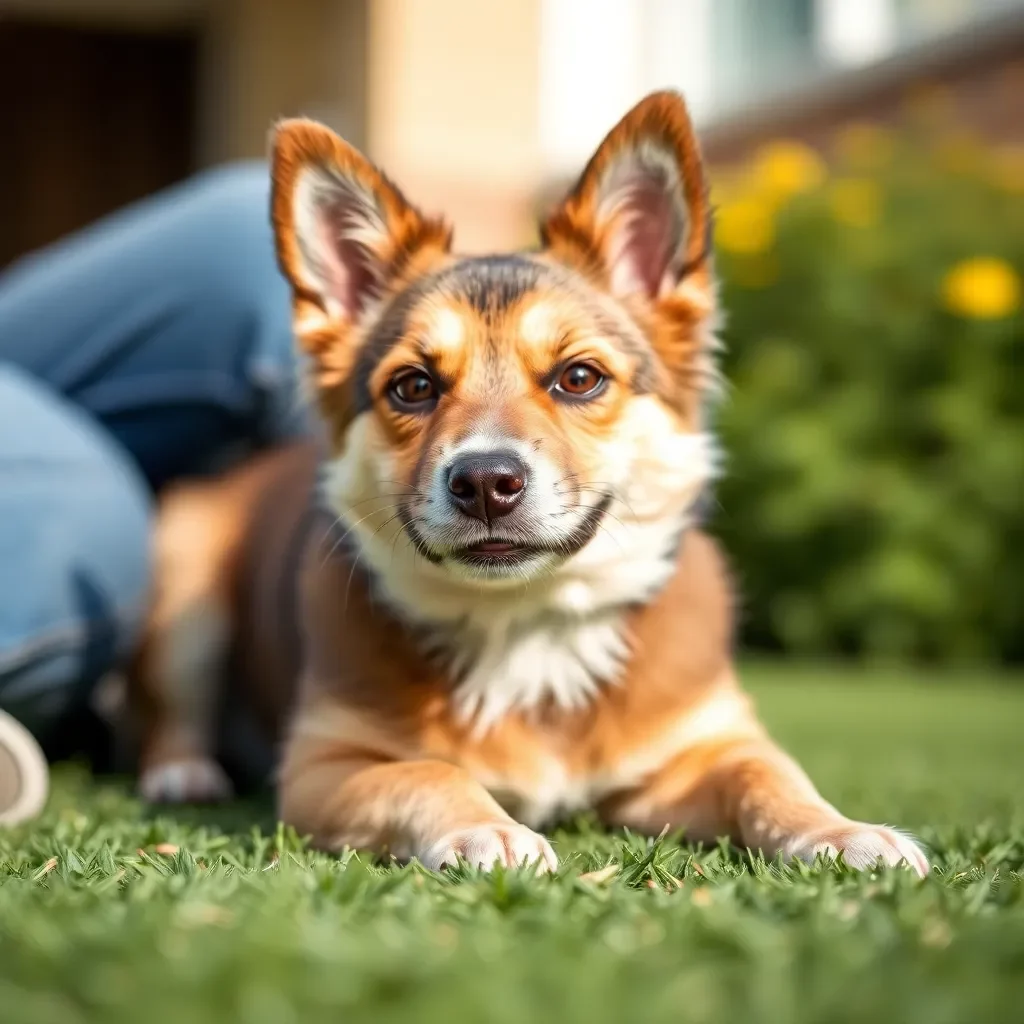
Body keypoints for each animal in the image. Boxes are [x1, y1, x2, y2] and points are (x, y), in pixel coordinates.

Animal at [132, 92, 933, 876]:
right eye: (412, 386)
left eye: (579, 377)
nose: (486, 480)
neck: (529, 622)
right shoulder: (322, 765)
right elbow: (429, 771)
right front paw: (489, 830)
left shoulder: (701, 748)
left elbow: (765, 774)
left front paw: (842, 832)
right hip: (185, 590)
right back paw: (183, 774)